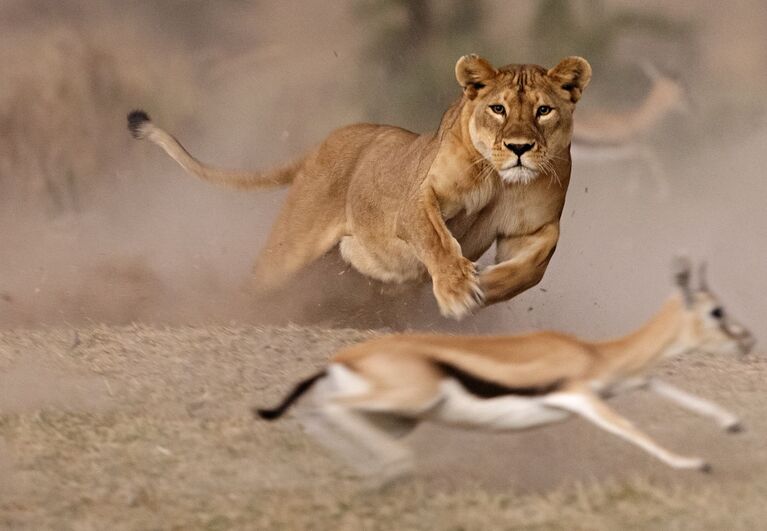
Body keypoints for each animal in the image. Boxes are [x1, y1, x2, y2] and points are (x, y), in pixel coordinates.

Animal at [256, 260, 756, 480]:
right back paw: (391, 470)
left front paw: (733, 424)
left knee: (322, 413)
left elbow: (664, 387)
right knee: (324, 409)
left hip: (398, 417)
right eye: (716, 311)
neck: (594, 354)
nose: (748, 340)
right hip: (408, 401)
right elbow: (633, 430)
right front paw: (696, 463)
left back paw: (379, 474)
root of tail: (340, 360)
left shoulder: (624, 381)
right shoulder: (581, 396)